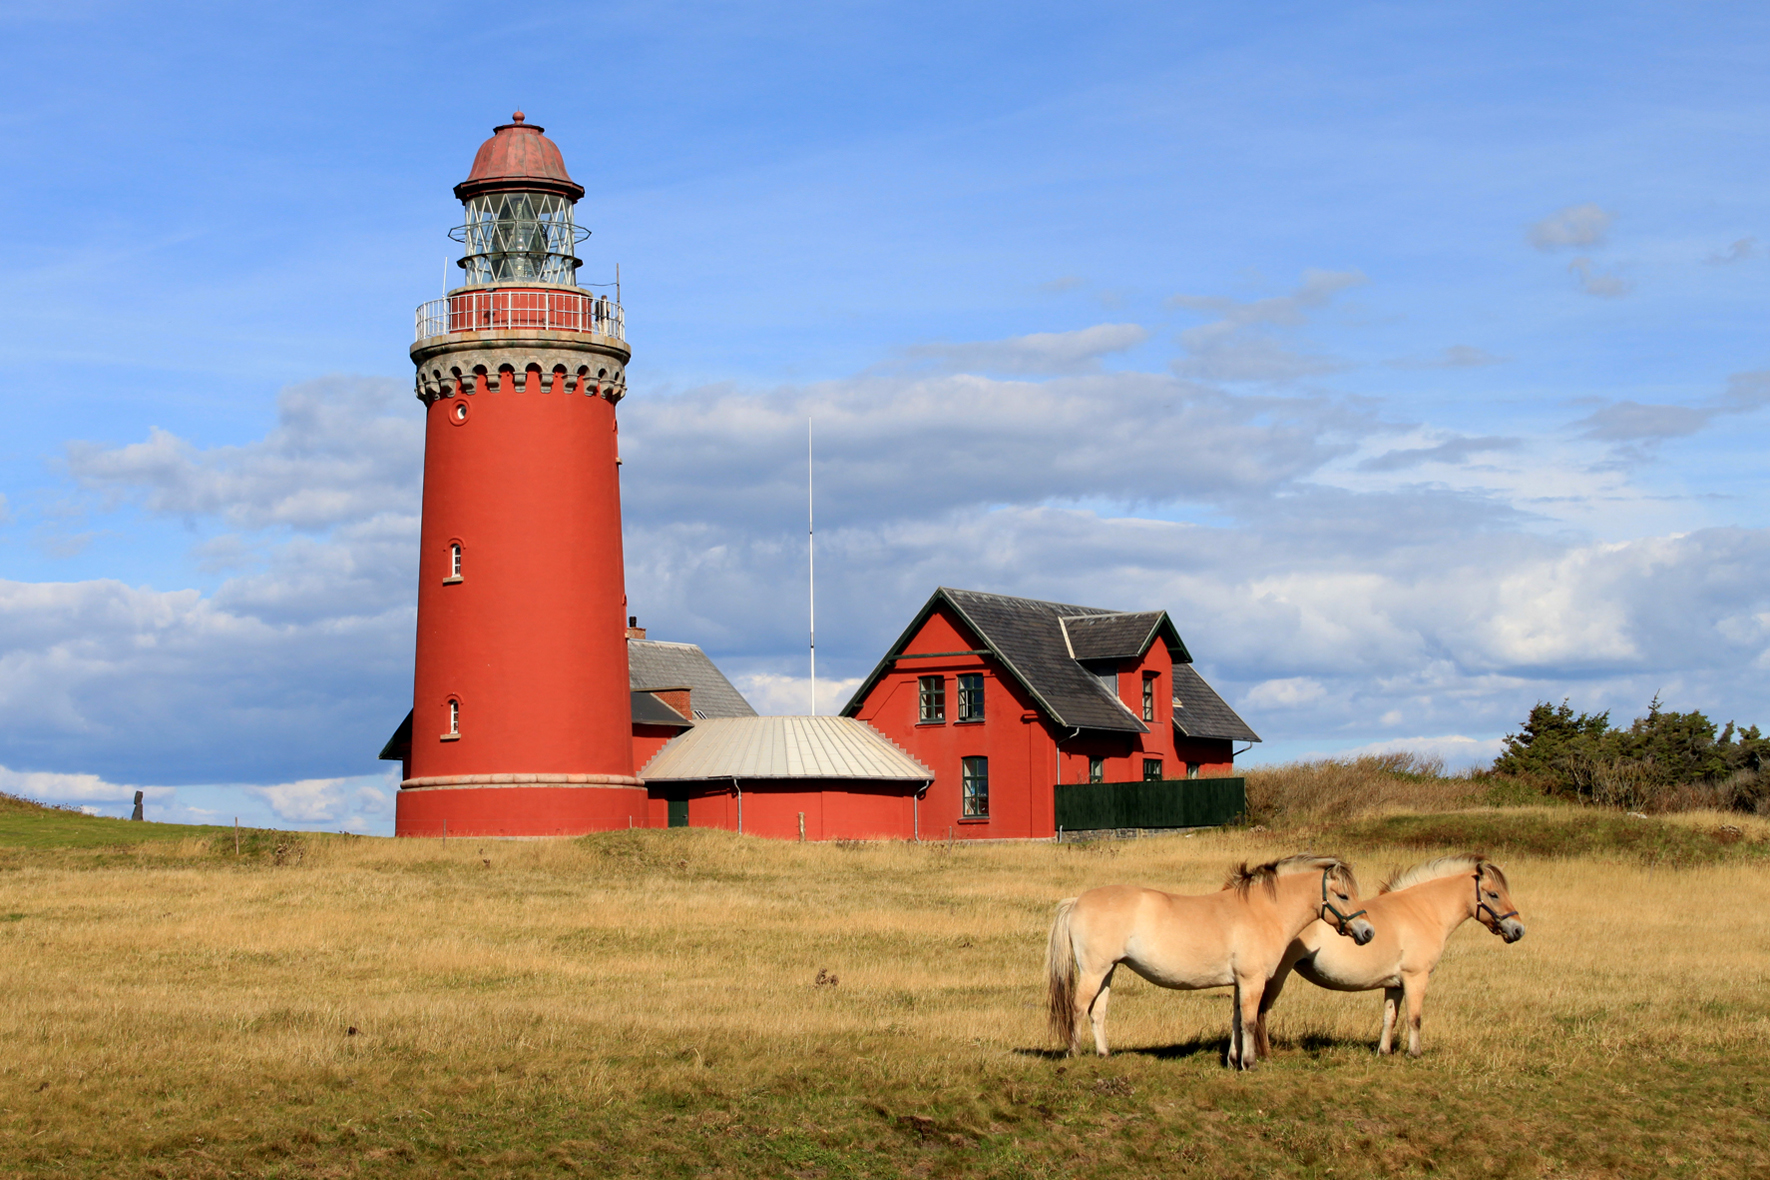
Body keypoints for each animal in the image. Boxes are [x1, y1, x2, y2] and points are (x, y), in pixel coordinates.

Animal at [1040, 852, 1373, 1075]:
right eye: (1344, 895)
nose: (1367, 932)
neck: (1261, 910)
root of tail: (1077, 900)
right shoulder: (1252, 980)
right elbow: (1249, 1021)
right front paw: (1249, 1064)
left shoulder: (1240, 982)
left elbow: (1236, 1020)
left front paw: (1233, 1061)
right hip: (1093, 971)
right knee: (1078, 1007)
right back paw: (1074, 1053)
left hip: (1107, 971)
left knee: (1097, 1011)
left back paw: (1104, 1054)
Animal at [1253, 849, 1529, 1061]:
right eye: (1494, 894)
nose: (1518, 929)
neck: (1422, 910)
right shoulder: (1416, 978)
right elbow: (1414, 1018)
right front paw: (1415, 1054)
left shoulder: (1395, 984)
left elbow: (1390, 1018)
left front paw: (1383, 1052)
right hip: (1275, 976)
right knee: (1261, 1011)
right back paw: (1263, 1054)